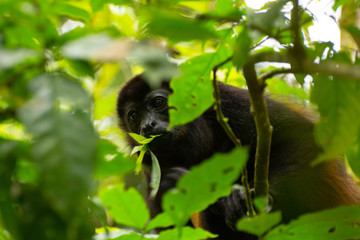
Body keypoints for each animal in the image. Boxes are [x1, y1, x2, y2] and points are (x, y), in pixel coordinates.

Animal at [116, 74, 360, 239]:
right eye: (133, 116)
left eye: (158, 103)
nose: (147, 126)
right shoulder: (150, 174)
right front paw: (175, 183)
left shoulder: (227, 102)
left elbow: (302, 138)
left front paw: (252, 198)